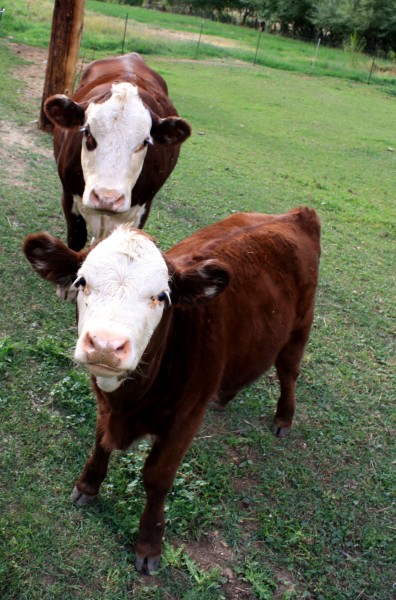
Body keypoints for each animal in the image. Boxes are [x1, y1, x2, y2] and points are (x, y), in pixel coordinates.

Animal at [24, 209, 322, 576]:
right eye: (81, 282)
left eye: (161, 296)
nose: (106, 345)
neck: (128, 402)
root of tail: (296, 214)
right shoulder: (104, 405)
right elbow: (101, 443)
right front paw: (87, 486)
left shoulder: (186, 419)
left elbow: (157, 477)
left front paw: (149, 544)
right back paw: (224, 396)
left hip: (300, 328)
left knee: (288, 373)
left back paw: (283, 418)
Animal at [43, 49, 192, 251]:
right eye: (87, 132)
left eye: (145, 142)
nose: (107, 198)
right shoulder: (68, 198)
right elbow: (75, 241)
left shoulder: (143, 209)